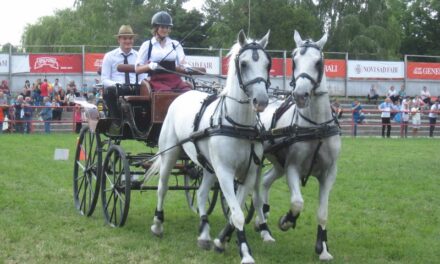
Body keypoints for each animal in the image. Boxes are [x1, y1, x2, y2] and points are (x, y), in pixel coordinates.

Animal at [147, 29, 272, 264]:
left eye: (268, 64)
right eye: (243, 64)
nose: (261, 101)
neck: (238, 124)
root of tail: (183, 93)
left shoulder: (249, 172)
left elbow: (235, 212)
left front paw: (220, 240)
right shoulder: (224, 172)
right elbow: (237, 214)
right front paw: (245, 253)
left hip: (207, 166)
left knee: (202, 192)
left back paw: (204, 233)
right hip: (170, 154)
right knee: (162, 187)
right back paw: (157, 225)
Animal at [253, 29, 342, 260]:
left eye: (319, 62)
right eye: (293, 61)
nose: (300, 95)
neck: (316, 127)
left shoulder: (329, 173)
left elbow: (323, 212)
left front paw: (322, 248)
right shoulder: (293, 167)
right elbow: (297, 202)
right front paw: (286, 220)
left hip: (278, 163)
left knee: (265, 182)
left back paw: (262, 219)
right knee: (254, 192)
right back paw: (264, 227)